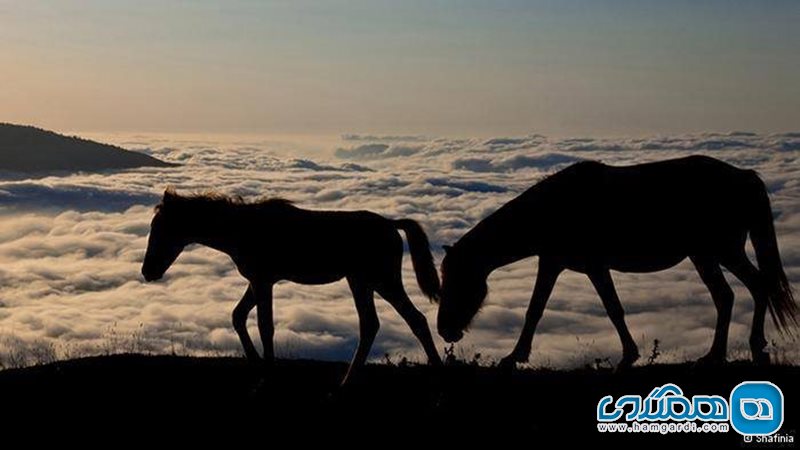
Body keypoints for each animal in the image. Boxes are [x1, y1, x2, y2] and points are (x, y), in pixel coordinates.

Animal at [144, 189, 444, 384]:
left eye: (161, 230)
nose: (147, 271)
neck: (243, 229)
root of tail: (391, 225)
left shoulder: (263, 281)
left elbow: (265, 326)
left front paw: (267, 376)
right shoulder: (257, 281)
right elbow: (238, 316)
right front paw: (256, 365)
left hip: (382, 280)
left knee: (413, 320)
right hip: (361, 282)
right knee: (374, 324)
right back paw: (346, 384)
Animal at [434, 155, 796, 370]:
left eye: (456, 282)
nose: (445, 330)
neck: (551, 210)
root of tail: (746, 177)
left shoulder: (589, 266)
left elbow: (610, 309)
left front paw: (512, 357)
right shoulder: (554, 263)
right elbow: (537, 309)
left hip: (718, 251)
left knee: (746, 289)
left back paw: (737, 349)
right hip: (709, 254)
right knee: (736, 293)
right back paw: (725, 351)